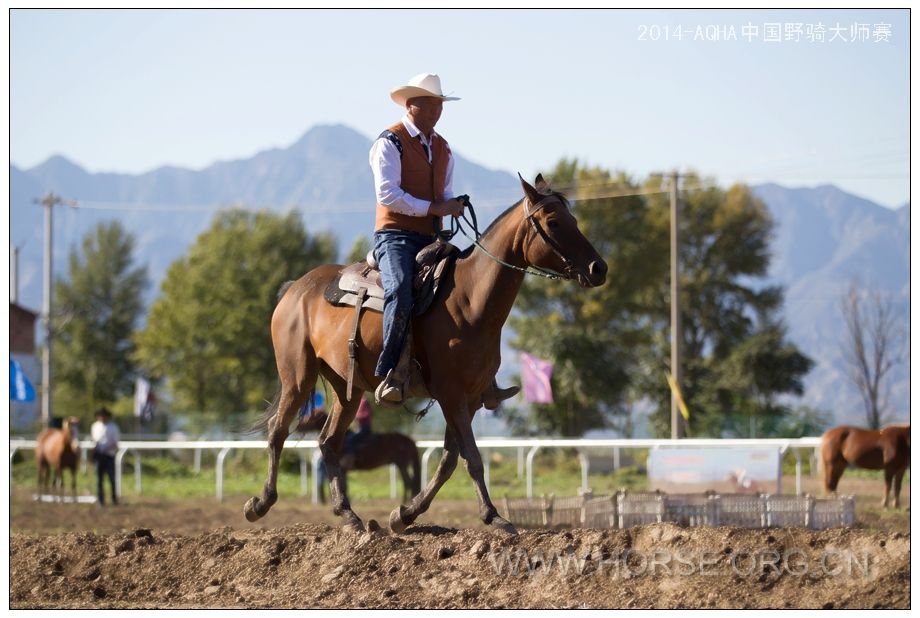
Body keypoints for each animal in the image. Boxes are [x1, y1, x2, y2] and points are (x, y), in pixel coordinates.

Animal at [244, 171, 608, 532]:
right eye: (554, 222)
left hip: (346, 387)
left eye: (573, 219)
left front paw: (405, 513)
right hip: (297, 376)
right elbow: (472, 458)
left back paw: (349, 515)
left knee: (328, 442)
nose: (598, 268)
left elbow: (449, 460)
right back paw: (260, 504)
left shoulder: (469, 399)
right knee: (278, 430)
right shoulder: (451, 394)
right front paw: (494, 516)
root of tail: (295, 288)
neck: (469, 300)